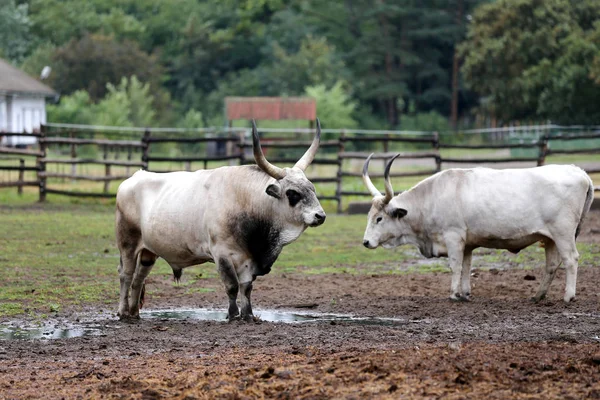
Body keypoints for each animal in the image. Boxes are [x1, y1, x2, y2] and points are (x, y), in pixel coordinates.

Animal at [115, 120, 326, 320]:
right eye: (292, 193)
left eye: (312, 188)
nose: (320, 216)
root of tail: (134, 177)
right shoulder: (222, 254)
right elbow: (232, 286)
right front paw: (232, 315)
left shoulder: (248, 259)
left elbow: (246, 287)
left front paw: (248, 315)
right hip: (127, 243)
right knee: (126, 275)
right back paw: (123, 312)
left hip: (148, 252)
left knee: (138, 279)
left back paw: (134, 312)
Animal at [360, 155, 596, 302]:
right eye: (369, 216)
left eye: (379, 218)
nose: (365, 242)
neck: (431, 198)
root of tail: (579, 171)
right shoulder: (467, 243)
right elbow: (466, 266)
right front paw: (464, 293)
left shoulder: (453, 236)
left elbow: (455, 266)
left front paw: (453, 294)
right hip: (549, 238)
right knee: (552, 265)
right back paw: (538, 296)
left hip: (563, 233)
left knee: (571, 259)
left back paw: (568, 296)